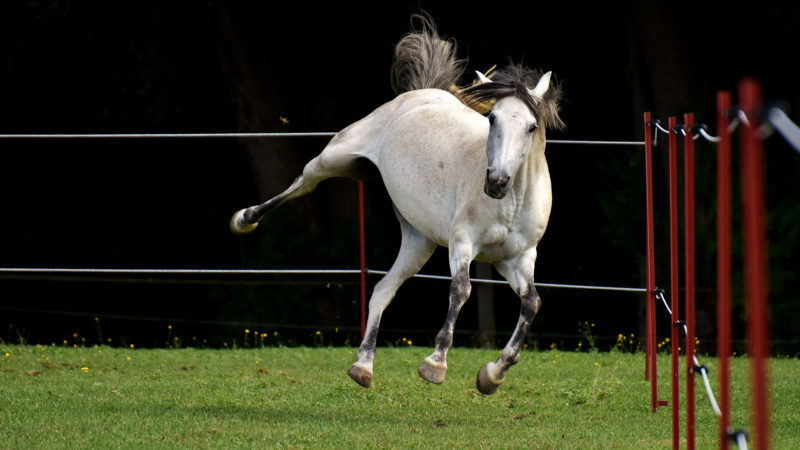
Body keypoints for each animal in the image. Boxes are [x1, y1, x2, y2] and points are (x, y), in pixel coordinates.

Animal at [231, 19, 564, 394]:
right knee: (303, 184)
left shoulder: (516, 259)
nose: (496, 182)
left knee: (382, 290)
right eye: (492, 118)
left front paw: (492, 375)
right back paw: (244, 219)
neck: (512, 204)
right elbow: (461, 289)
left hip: (418, 241)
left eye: (531, 126)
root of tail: (421, 92)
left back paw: (363, 366)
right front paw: (435, 364)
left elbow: (532, 303)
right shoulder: (463, 242)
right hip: (335, 158)